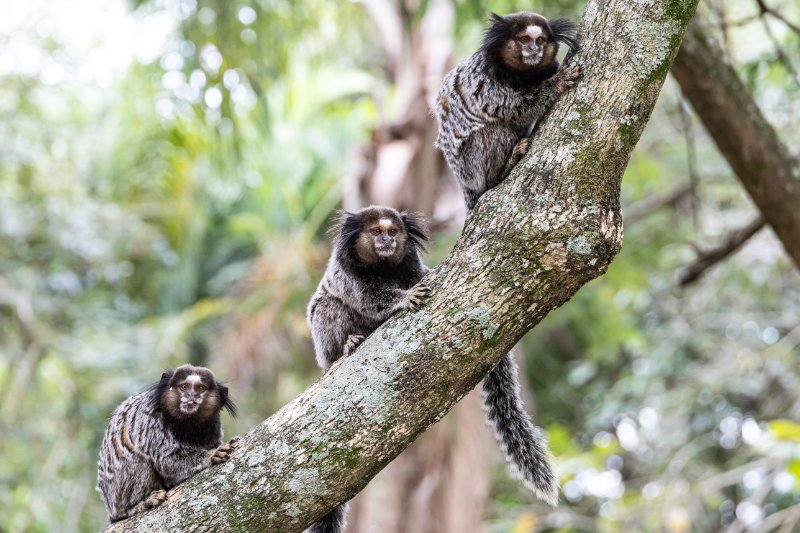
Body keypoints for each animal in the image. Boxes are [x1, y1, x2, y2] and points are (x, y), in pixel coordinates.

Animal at [96, 364, 238, 520]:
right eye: (184, 387)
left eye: (201, 388)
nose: (191, 397)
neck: (188, 424)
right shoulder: (152, 421)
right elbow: (167, 459)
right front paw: (211, 455)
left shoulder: (213, 425)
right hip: (118, 496)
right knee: (138, 461)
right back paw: (139, 505)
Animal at [434, 11, 580, 209]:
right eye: (524, 39)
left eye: (541, 40)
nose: (534, 49)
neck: (523, 76)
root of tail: (464, 185)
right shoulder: (485, 81)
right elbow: (516, 109)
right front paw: (557, 83)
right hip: (470, 168)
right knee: (494, 134)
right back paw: (502, 170)